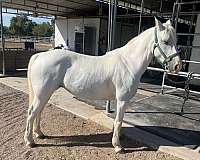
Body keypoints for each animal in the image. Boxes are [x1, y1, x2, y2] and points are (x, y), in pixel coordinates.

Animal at [24, 17, 182, 152]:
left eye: (176, 40)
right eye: (166, 41)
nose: (177, 66)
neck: (128, 63)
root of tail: (40, 55)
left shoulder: (119, 100)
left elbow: (117, 120)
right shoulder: (122, 100)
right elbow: (118, 121)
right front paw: (118, 146)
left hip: (45, 94)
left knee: (39, 112)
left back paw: (39, 134)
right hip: (42, 94)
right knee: (32, 113)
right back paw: (30, 141)